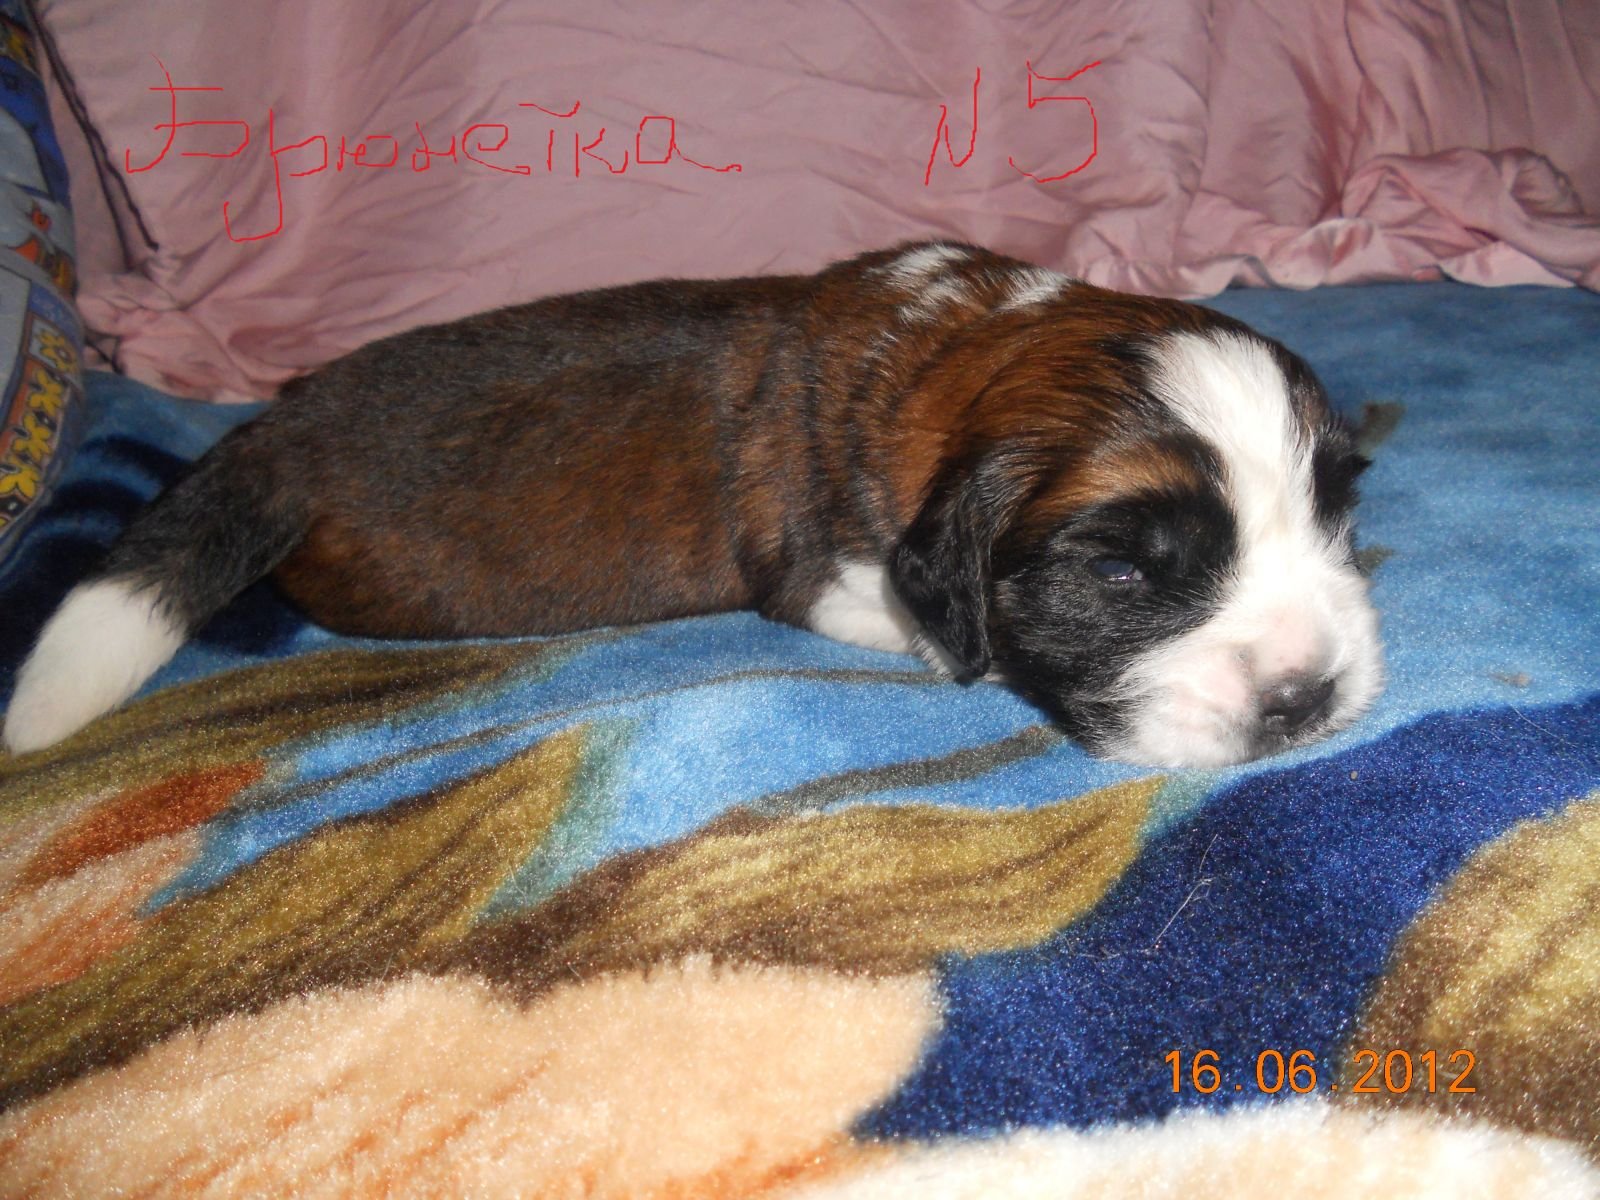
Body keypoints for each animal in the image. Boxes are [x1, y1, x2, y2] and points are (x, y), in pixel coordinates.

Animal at [3, 242, 1383, 766]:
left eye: (1332, 518)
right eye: (1122, 576)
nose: (1306, 698)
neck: (968, 341)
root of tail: (277, 425)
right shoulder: (836, 575)